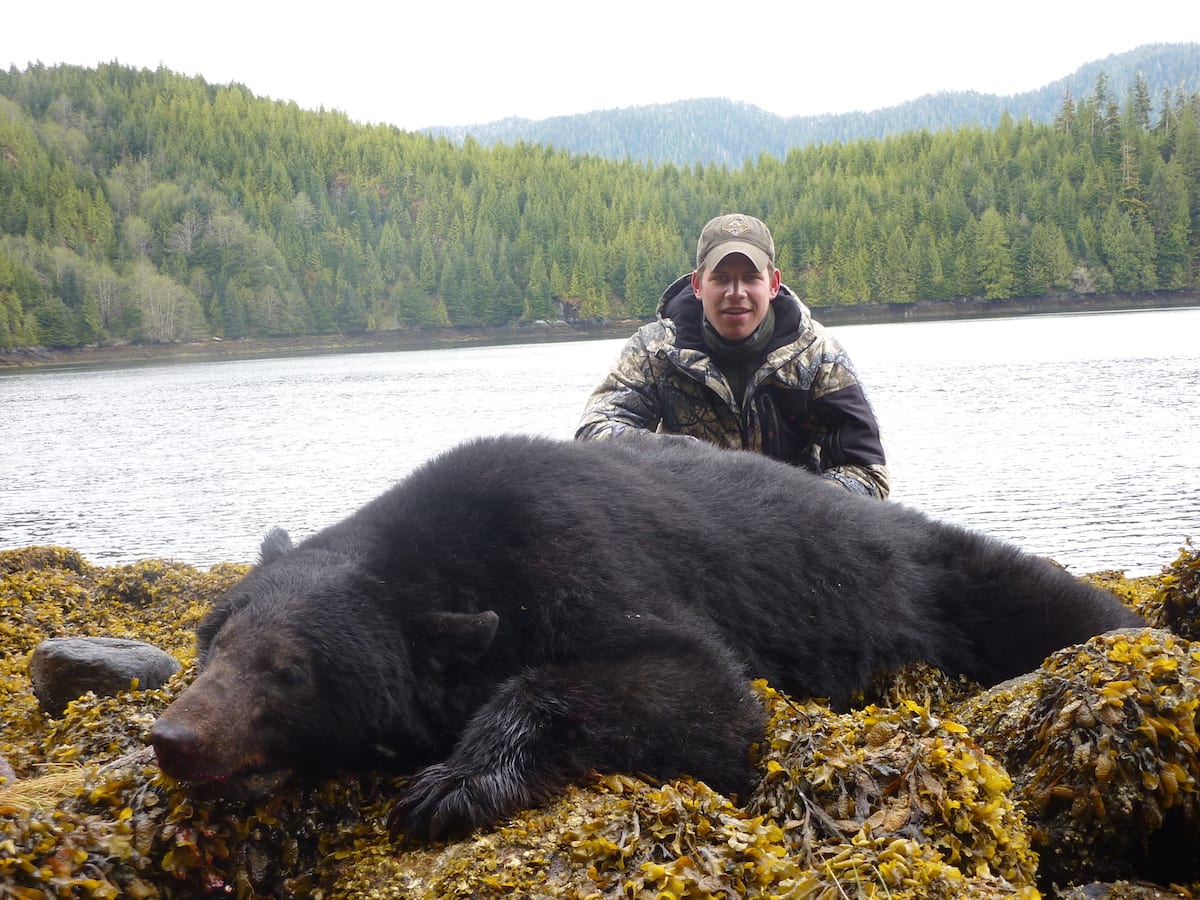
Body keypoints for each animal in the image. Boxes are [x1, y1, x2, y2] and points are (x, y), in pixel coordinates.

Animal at [147, 434, 1142, 844]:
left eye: (288, 670)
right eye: (211, 643)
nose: (175, 737)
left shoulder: (577, 551)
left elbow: (702, 691)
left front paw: (453, 784)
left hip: (948, 576)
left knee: (1060, 603)